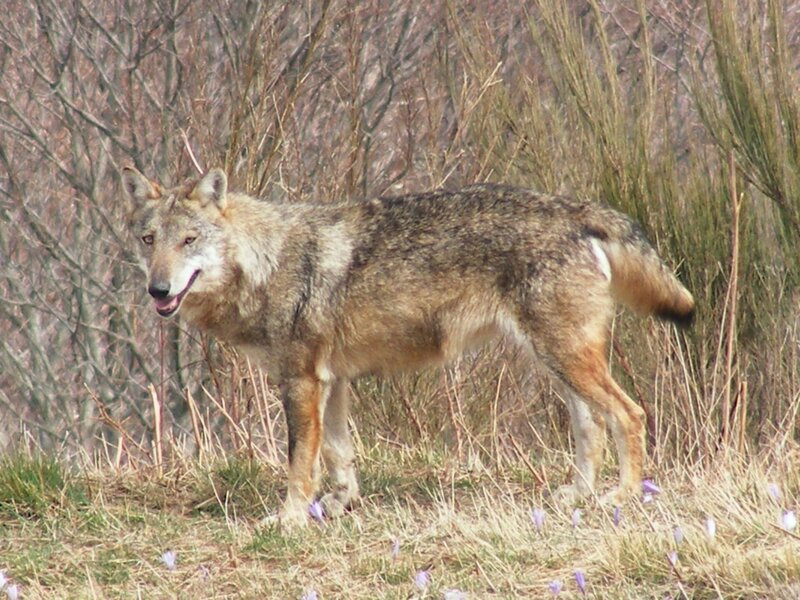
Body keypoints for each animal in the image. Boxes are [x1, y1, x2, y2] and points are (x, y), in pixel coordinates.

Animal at [121, 166, 694, 528]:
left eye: (189, 241)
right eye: (149, 241)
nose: (158, 290)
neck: (267, 262)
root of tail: (573, 207)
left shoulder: (302, 381)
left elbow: (299, 461)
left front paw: (289, 519)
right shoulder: (333, 382)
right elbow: (338, 454)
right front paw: (338, 505)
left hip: (568, 359)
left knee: (631, 414)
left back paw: (620, 497)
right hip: (555, 363)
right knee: (591, 424)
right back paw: (577, 494)